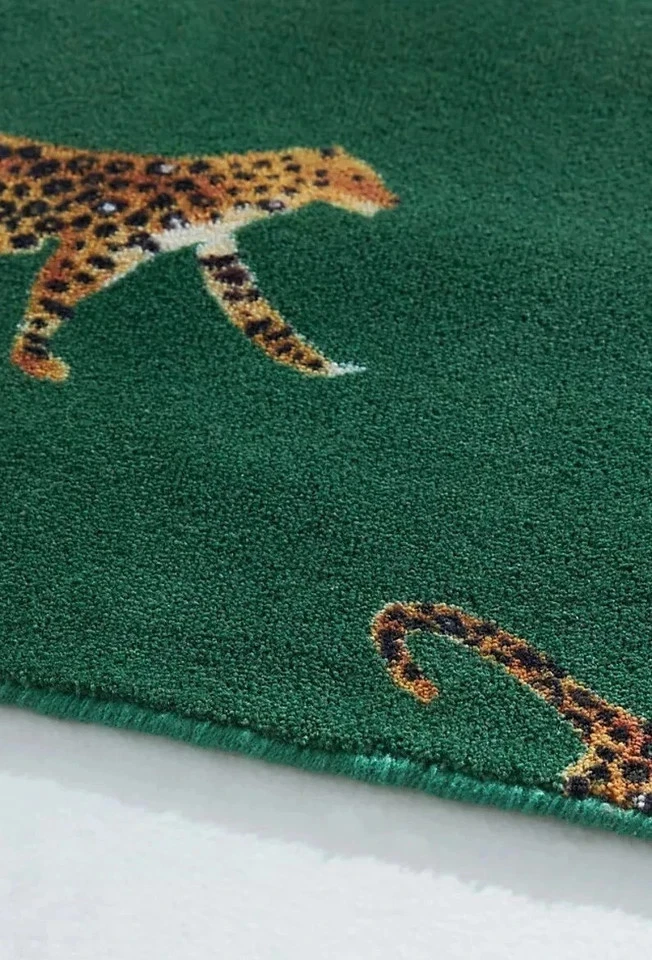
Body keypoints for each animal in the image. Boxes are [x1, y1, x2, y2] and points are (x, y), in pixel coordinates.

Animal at [0, 134, 398, 382]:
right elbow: (52, 297)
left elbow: (264, 322)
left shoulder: (219, 251)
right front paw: (32, 358)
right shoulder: (95, 244)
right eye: (360, 177)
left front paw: (320, 365)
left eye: (371, 173)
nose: (393, 200)